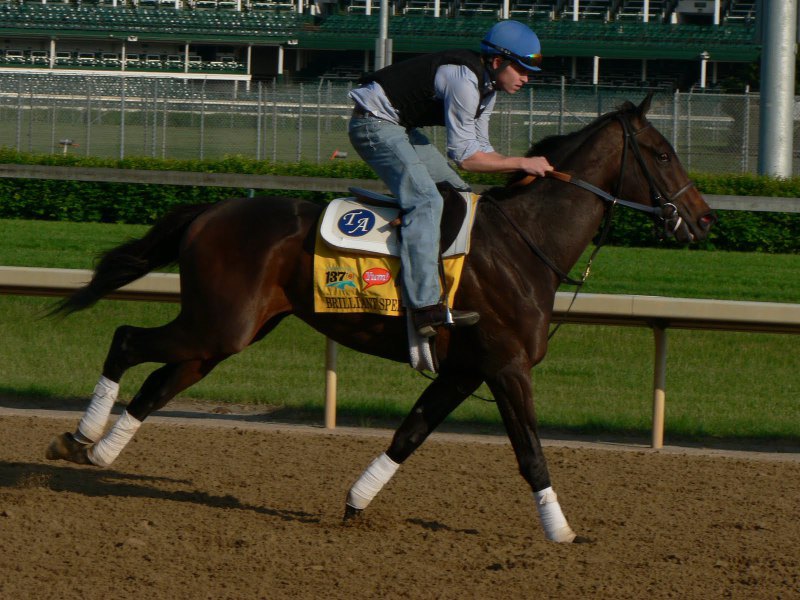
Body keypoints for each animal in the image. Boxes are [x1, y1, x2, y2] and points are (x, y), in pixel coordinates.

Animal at [47, 95, 716, 544]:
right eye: (662, 153)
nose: (705, 219)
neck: (526, 244)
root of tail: (212, 210)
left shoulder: (465, 370)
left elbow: (410, 434)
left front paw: (355, 502)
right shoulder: (506, 366)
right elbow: (529, 451)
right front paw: (561, 531)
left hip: (227, 334)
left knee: (160, 383)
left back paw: (101, 453)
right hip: (217, 324)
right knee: (126, 340)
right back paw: (79, 435)